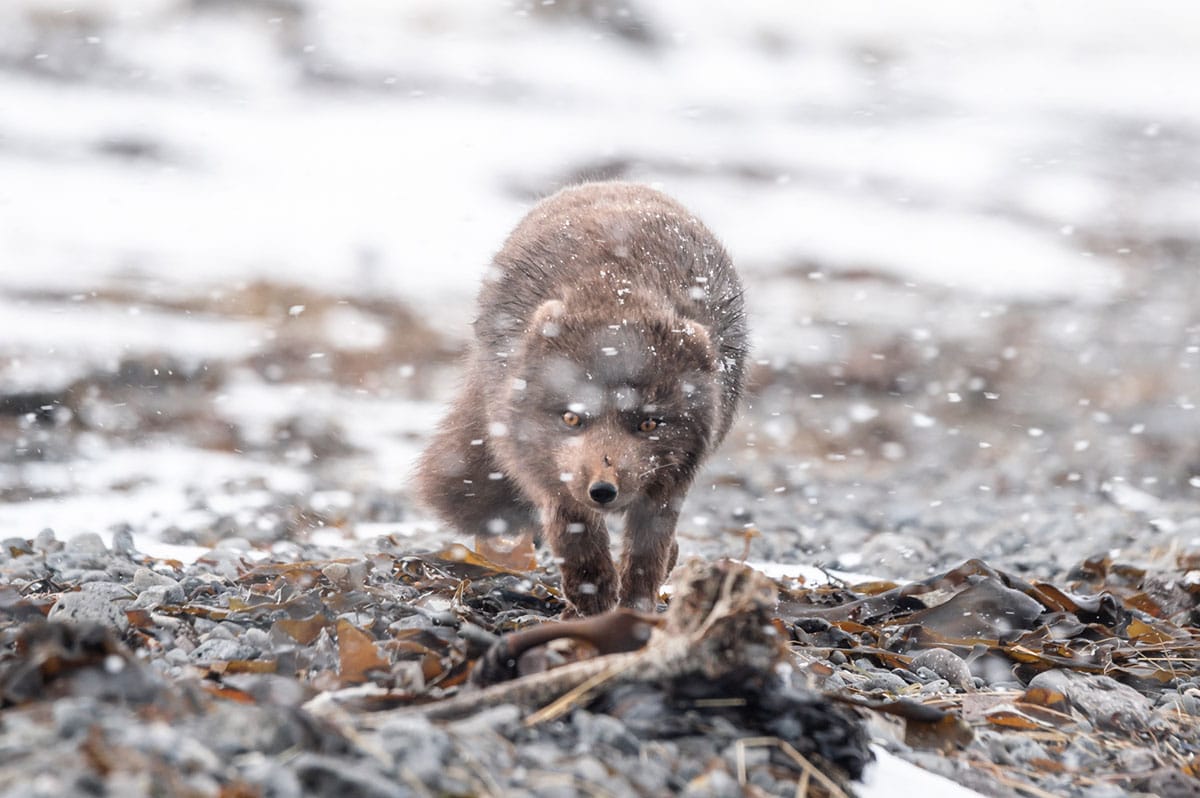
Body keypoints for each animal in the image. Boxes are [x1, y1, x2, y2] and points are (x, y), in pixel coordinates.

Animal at [417, 182, 744, 614]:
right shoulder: (549, 475)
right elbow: (575, 537)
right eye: (572, 418)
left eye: (649, 423)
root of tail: (611, 183)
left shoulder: (670, 483)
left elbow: (647, 553)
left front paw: (634, 608)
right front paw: (592, 600)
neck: (618, 292)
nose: (603, 490)